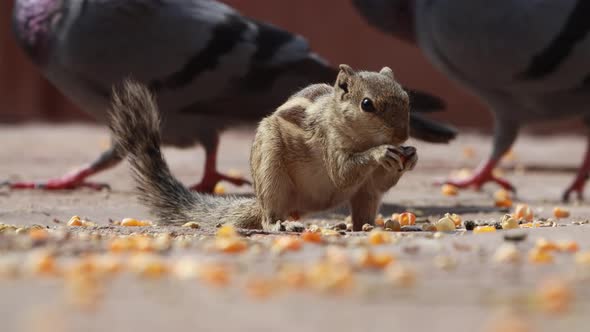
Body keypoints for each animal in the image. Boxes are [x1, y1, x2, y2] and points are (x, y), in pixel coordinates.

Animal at [108, 64, 418, 231]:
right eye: (367, 104)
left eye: (406, 98)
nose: (402, 135)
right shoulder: (329, 142)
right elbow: (342, 173)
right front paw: (380, 153)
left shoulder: (373, 178)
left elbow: (380, 180)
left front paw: (411, 155)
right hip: (271, 172)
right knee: (270, 217)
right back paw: (280, 224)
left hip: (365, 194)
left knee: (364, 207)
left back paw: (368, 226)